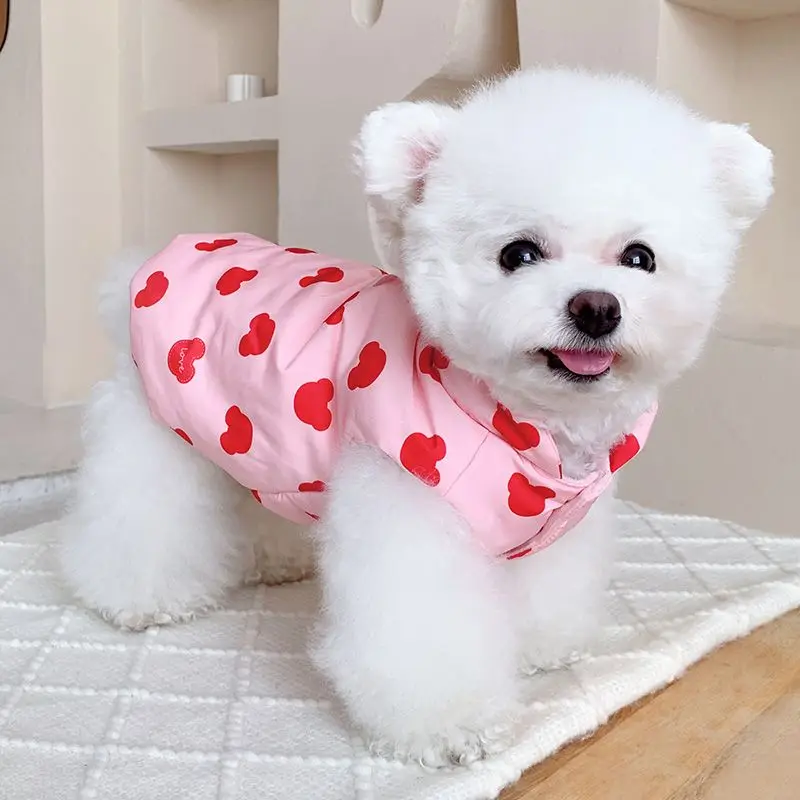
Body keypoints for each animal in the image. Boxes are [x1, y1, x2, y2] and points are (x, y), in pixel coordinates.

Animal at [59, 69, 773, 766]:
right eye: (518, 254)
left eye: (639, 257)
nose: (597, 307)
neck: (527, 429)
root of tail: (144, 267)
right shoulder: (406, 510)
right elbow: (425, 637)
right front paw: (452, 727)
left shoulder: (547, 527)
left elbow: (546, 592)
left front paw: (540, 647)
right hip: (154, 429)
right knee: (141, 518)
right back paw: (139, 597)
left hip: (260, 439)